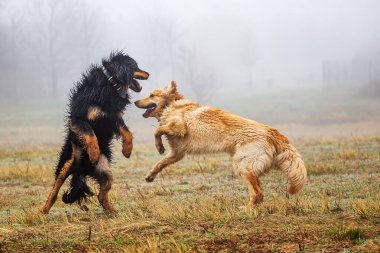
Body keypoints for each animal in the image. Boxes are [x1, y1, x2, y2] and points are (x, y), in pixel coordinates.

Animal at [41, 51, 148, 213]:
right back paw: (43, 210)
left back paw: (112, 211)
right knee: (54, 190)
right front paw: (94, 153)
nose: (148, 73)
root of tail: (83, 170)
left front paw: (127, 151)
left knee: (101, 195)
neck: (111, 83)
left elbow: (127, 132)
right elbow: (90, 134)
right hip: (68, 163)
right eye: (136, 67)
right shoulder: (79, 119)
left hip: (105, 171)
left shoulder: (113, 117)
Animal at [135, 81, 308, 208]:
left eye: (151, 95)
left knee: (258, 193)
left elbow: (157, 130)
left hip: (243, 166)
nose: (135, 101)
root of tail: (273, 132)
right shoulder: (177, 153)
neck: (173, 105)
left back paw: (246, 210)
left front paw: (159, 146)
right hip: (249, 168)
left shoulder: (179, 127)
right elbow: (160, 163)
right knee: (260, 193)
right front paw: (151, 175)